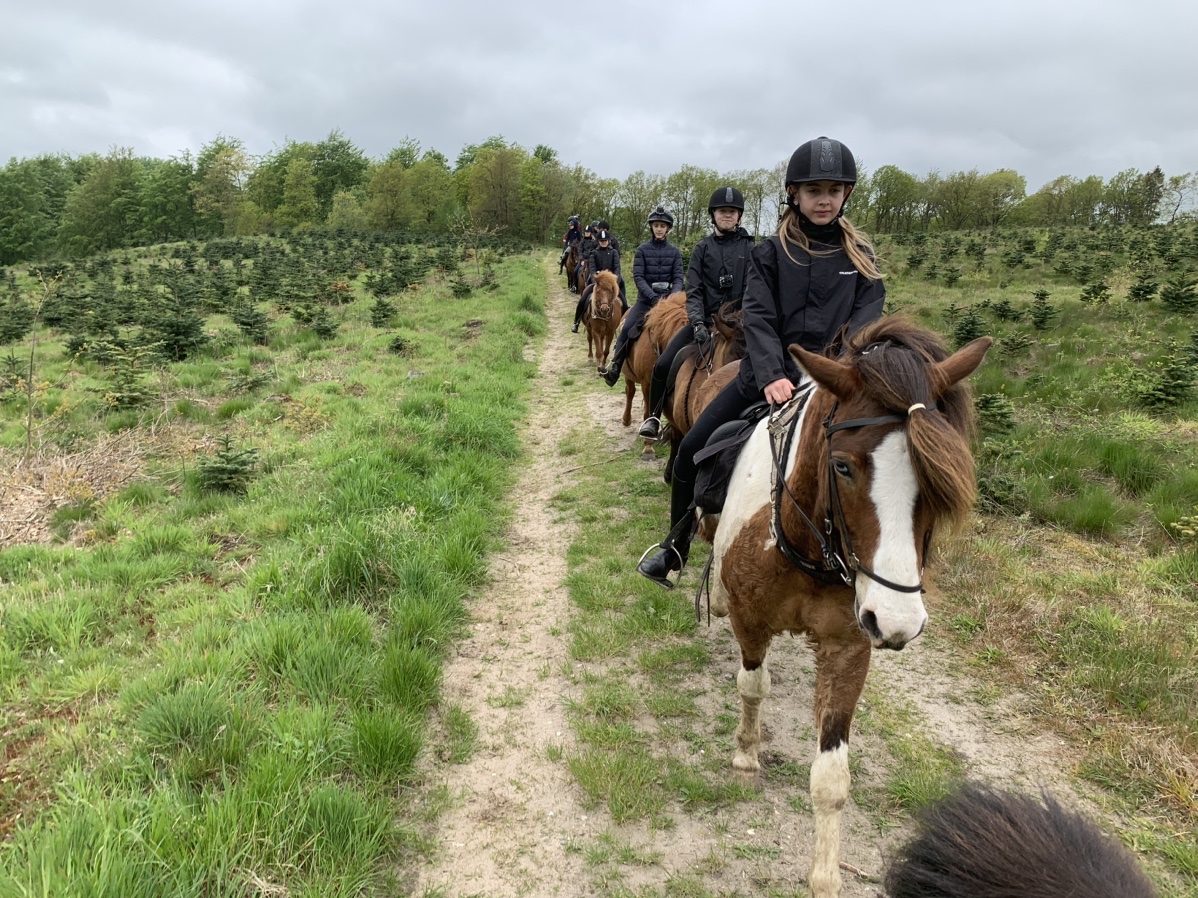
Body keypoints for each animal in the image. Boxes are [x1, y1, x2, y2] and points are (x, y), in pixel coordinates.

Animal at [622, 295, 690, 459]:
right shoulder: (647, 383)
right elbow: (648, 412)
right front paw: (648, 445)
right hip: (628, 374)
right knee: (630, 391)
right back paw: (626, 419)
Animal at [699, 320, 991, 895]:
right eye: (842, 466)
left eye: (942, 477)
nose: (898, 623)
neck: (804, 544)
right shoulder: (749, 620)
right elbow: (752, 685)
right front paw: (745, 756)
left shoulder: (850, 646)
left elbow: (832, 777)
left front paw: (826, 874)